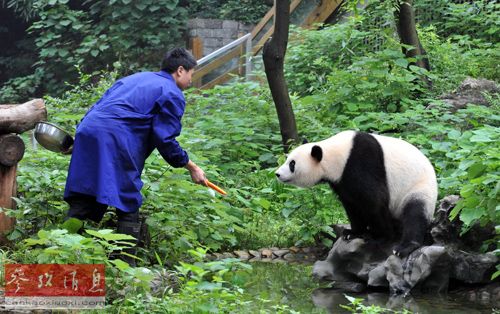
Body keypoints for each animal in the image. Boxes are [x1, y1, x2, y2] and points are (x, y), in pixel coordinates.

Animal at [276, 131, 436, 256]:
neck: (336, 154)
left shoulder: (362, 163)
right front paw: (352, 233)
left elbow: (374, 200)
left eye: (292, 164)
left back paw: (404, 247)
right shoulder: (342, 180)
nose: (277, 174)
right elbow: (352, 204)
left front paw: (379, 236)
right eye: (287, 159)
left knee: (415, 213)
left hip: (419, 188)